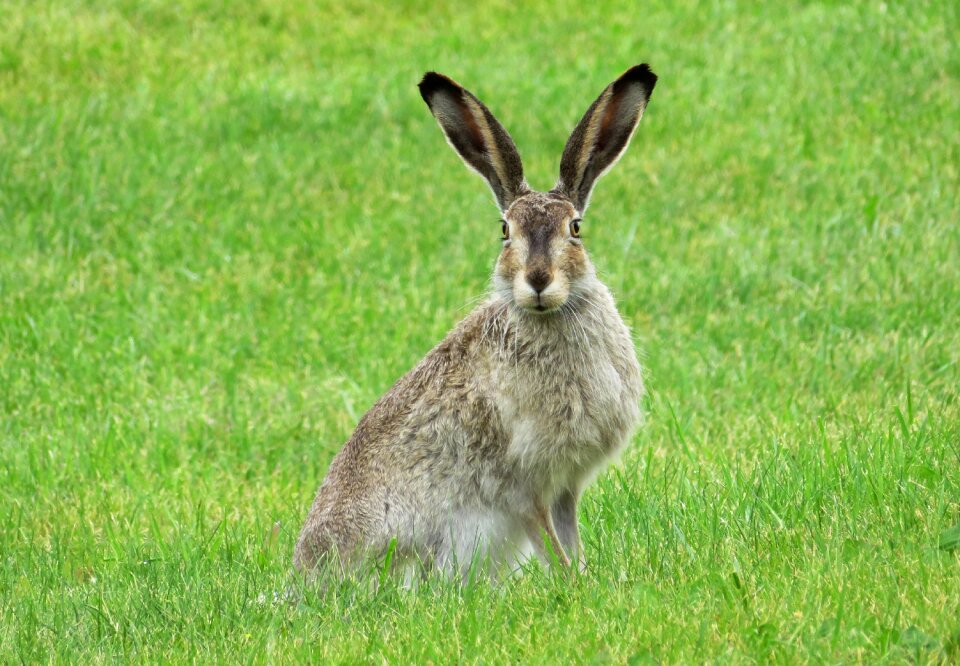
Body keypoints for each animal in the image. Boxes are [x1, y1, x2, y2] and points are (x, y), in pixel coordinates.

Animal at [294, 63, 652, 580]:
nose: (537, 280)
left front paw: (586, 578)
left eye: (575, 229)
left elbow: (569, 537)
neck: (548, 316)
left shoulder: (565, 486)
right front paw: (571, 582)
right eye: (505, 231)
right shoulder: (523, 485)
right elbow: (549, 541)